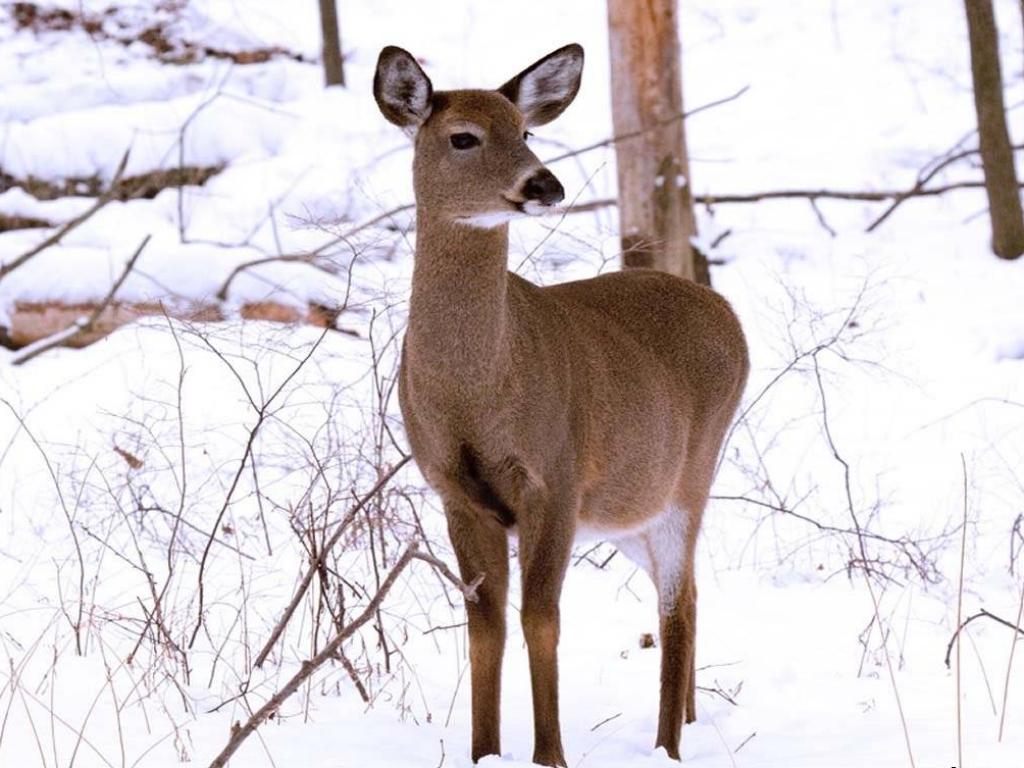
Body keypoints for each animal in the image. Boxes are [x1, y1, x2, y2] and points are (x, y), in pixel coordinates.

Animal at [372, 43, 749, 768]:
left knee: (676, 608)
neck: (475, 391)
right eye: (463, 136)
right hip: (631, 508)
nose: (545, 185)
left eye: (527, 131)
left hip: (690, 476)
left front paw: (551, 754)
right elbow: (484, 625)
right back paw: (688, 720)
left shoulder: (556, 476)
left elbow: (540, 618)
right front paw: (483, 751)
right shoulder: (455, 491)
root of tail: (727, 312)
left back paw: (668, 743)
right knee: (689, 591)